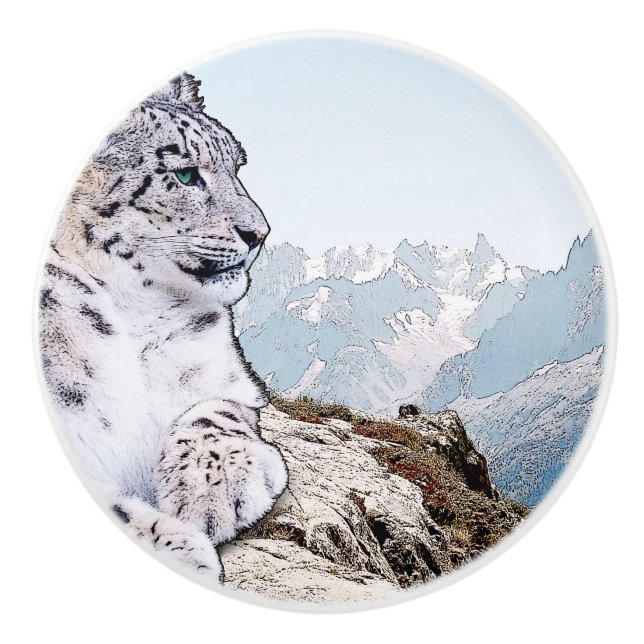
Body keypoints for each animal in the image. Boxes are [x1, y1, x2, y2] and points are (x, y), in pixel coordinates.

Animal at [37, 73, 288, 584]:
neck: (136, 317)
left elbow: (217, 411)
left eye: (237, 166)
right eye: (186, 174)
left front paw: (214, 488)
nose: (259, 234)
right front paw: (178, 546)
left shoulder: (228, 378)